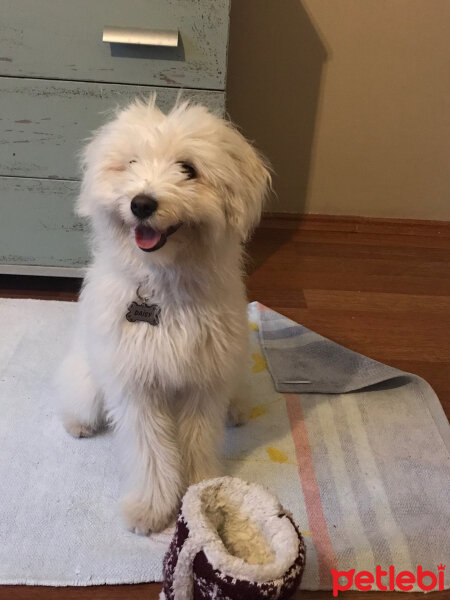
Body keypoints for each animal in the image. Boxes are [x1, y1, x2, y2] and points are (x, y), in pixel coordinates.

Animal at [54, 98, 268, 536]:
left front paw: (198, 491)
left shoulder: (204, 382)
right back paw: (77, 423)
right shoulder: (136, 384)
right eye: (132, 162)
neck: (162, 286)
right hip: (88, 381)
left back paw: (238, 408)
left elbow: (197, 440)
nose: (142, 203)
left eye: (187, 168)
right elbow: (150, 449)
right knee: (76, 397)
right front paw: (151, 508)